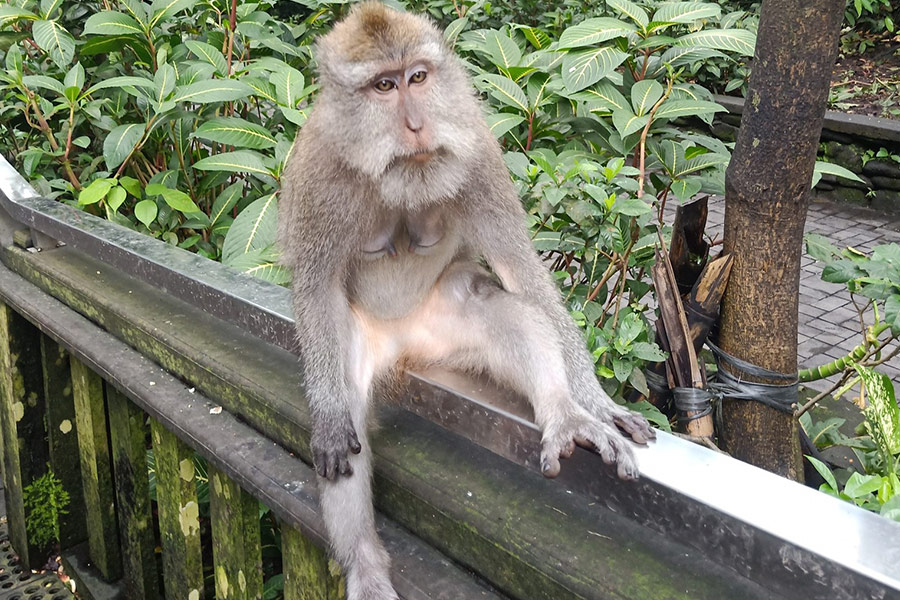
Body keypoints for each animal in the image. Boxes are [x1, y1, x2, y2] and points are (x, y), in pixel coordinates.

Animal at [277, 4, 656, 599]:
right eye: (383, 86)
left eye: (418, 78)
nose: (417, 126)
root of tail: (403, 347)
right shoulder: (318, 175)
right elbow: (315, 285)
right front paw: (332, 417)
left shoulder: (476, 150)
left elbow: (520, 269)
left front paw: (599, 404)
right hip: (359, 339)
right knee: (348, 416)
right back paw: (365, 564)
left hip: (442, 326)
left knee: (498, 305)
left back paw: (565, 416)